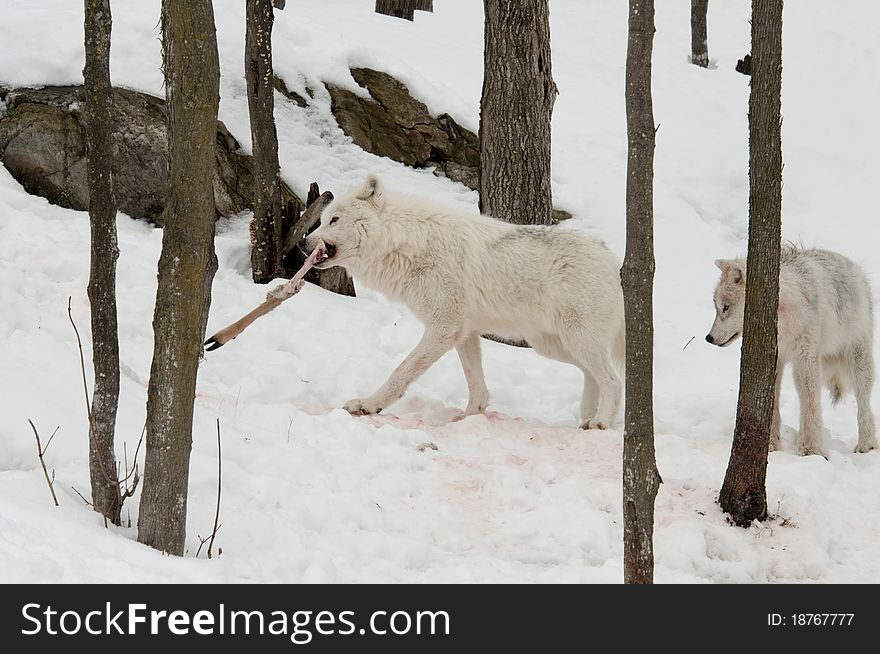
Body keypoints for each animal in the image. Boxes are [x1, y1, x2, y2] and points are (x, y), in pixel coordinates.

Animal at [302, 174, 624, 430]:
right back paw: (587, 417)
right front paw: (471, 418)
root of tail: (610, 258)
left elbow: (401, 370)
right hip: (553, 345)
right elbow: (475, 384)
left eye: (334, 220)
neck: (408, 243)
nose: (303, 243)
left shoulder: (444, 328)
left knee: (613, 380)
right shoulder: (465, 333)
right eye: (322, 220)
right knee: (592, 374)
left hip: (575, 340)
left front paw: (368, 405)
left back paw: (600, 422)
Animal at [704, 246, 876, 456]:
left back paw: (866, 445)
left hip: (857, 359)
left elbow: (810, 403)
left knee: (863, 403)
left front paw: (811, 449)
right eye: (716, 308)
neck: (784, 314)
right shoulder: (775, 357)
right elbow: (773, 403)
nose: (709, 338)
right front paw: (770, 445)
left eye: (725, 308)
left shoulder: (806, 357)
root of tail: (858, 270)